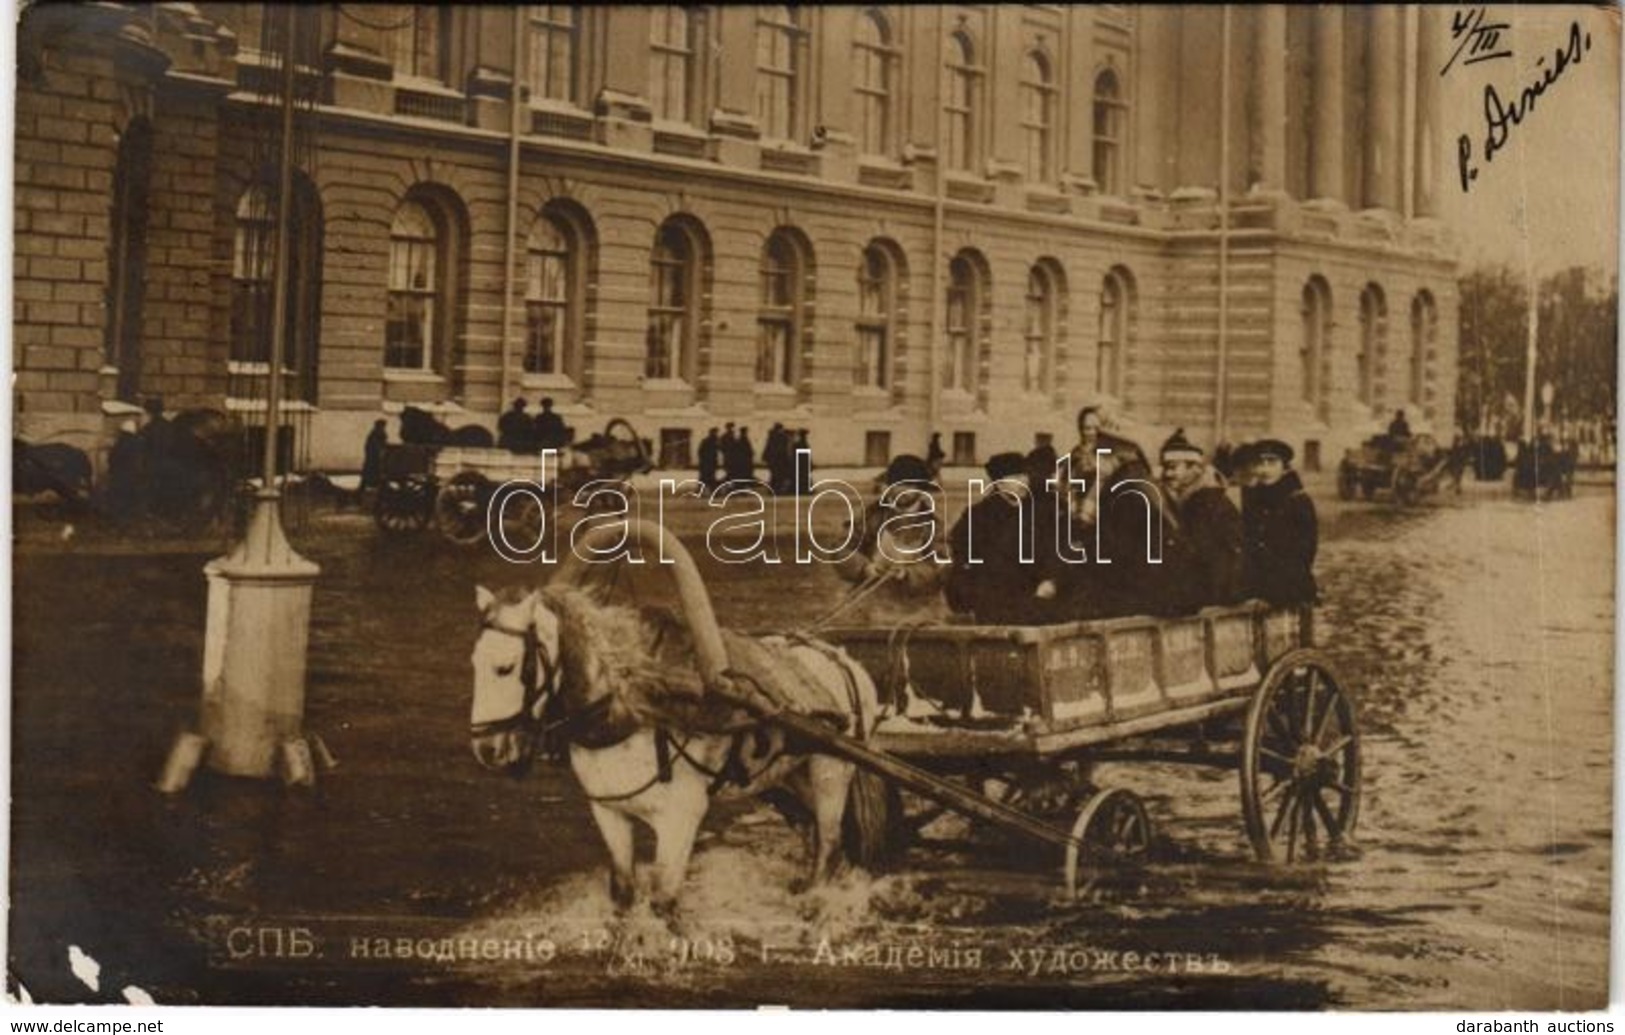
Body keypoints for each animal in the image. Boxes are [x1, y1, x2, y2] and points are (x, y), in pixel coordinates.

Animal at [464, 584, 884, 916]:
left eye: (505, 667)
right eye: (474, 663)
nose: (487, 747)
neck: (635, 710)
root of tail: (845, 661)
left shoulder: (680, 819)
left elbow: (663, 901)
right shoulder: (610, 813)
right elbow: (624, 892)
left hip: (830, 773)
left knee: (829, 844)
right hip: (783, 781)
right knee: (811, 830)